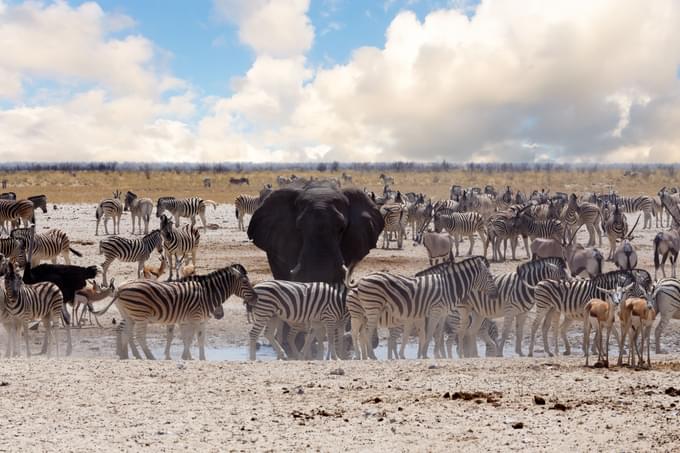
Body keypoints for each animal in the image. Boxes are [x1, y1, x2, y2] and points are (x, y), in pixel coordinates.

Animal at [91, 264, 256, 358]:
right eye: (245, 282)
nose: (256, 297)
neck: (205, 294)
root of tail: (120, 288)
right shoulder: (192, 319)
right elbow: (188, 339)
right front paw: (185, 357)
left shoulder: (199, 321)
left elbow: (199, 340)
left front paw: (200, 359)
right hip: (140, 315)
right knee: (139, 336)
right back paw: (149, 357)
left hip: (129, 315)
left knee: (127, 333)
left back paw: (132, 356)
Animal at [348, 256, 496, 358]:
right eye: (490, 277)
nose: (495, 294)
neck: (448, 286)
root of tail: (361, 279)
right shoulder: (434, 311)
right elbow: (429, 333)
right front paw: (425, 354)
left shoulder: (441, 313)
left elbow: (437, 335)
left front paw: (435, 355)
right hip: (370, 309)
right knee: (364, 333)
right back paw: (370, 356)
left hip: (365, 313)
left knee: (361, 333)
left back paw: (364, 356)